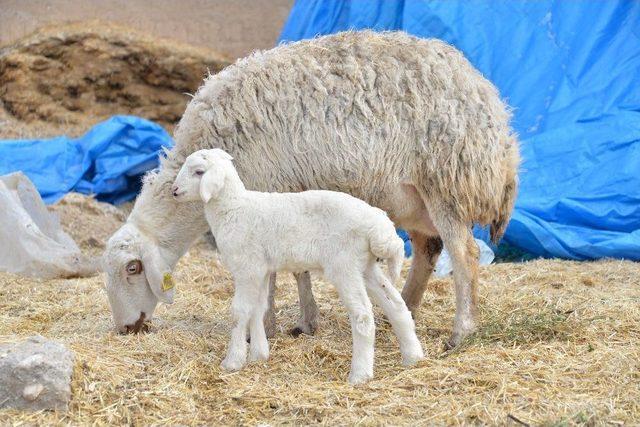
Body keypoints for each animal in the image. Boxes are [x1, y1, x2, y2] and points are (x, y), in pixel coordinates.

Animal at [102, 31, 516, 350]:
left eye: (133, 268)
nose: (125, 328)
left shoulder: (266, 194)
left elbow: (271, 272)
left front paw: (262, 329)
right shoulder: (292, 197)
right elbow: (299, 267)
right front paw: (305, 322)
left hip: (448, 180)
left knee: (464, 254)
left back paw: (461, 332)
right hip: (412, 197)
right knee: (429, 247)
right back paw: (405, 309)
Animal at [172, 150, 424, 384]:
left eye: (199, 172)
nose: (174, 191)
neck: (234, 208)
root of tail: (379, 225)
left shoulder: (247, 267)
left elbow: (240, 311)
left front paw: (233, 361)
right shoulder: (261, 269)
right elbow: (259, 308)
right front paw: (259, 355)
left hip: (344, 265)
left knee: (363, 315)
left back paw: (360, 374)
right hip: (366, 266)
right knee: (396, 306)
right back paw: (413, 357)